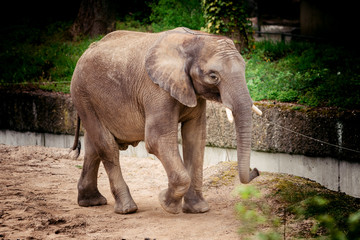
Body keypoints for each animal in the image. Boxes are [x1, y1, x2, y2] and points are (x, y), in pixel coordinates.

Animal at [70, 27, 260, 215]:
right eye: (213, 76)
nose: (256, 170)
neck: (193, 39)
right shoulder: (156, 90)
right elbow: (157, 140)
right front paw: (166, 203)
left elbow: (196, 137)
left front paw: (198, 209)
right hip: (82, 94)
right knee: (107, 146)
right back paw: (127, 209)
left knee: (93, 145)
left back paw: (91, 202)